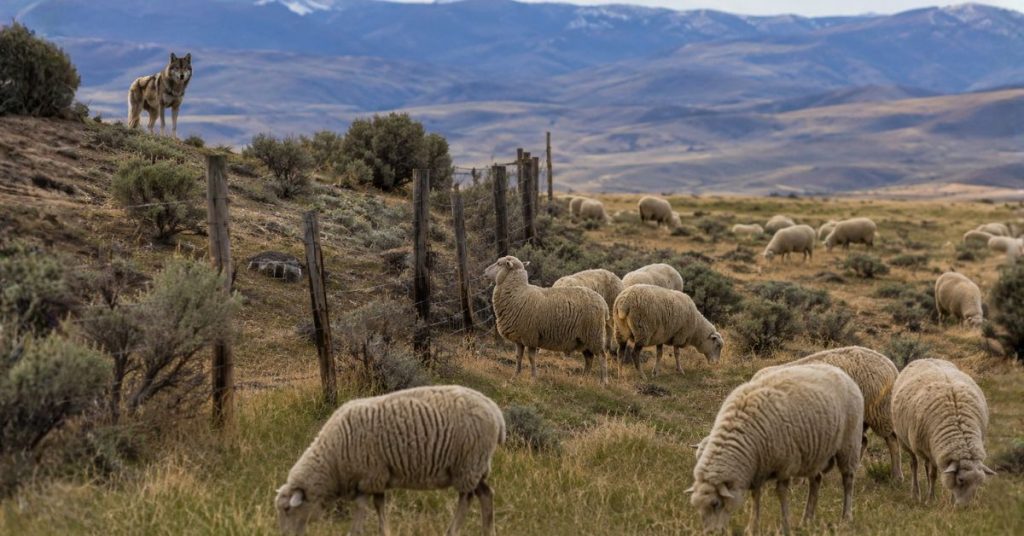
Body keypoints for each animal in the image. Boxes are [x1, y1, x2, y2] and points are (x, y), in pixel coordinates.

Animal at [275, 385, 505, 536]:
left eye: (287, 509)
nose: (285, 535)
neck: (332, 461)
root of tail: (494, 409)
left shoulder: (371, 474)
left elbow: (368, 507)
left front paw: (362, 531)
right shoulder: (371, 477)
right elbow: (375, 505)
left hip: (468, 463)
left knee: (466, 499)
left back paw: (452, 531)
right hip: (475, 466)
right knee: (486, 494)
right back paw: (488, 531)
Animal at [485, 256, 608, 384]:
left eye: (499, 263)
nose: (484, 272)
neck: (519, 293)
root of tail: (603, 304)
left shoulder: (531, 336)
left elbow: (531, 358)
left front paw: (533, 378)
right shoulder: (520, 338)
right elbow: (518, 357)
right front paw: (515, 376)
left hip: (594, 334)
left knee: (602, 356)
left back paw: (603, 382)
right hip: (584, 339)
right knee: (589, 358)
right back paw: (583, 379)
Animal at [689, 364, 863, 534]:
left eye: (715, 504)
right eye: (697, 507)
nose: (710, 533)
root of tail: (840, 371)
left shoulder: (785, 464)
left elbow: (781, 492)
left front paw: (784, 526)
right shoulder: (757, 468)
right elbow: (756, 495)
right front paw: (752, 526)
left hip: (849, 444)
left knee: (848, 480)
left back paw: (846, 517)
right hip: (817, 454)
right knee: (816, 481)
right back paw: (806, 519)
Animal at [891, 358, 995, 506]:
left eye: (979, 483)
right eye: (961, 480)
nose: (965, 507)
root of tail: (926, 358)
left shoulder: (935, 451)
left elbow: (938, 474)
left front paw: (950, 499)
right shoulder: (932, 452)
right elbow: (933, 474)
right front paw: (931, 499)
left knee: (925, 466)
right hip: (906, 441)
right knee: (914, 464)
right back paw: (916, 494)